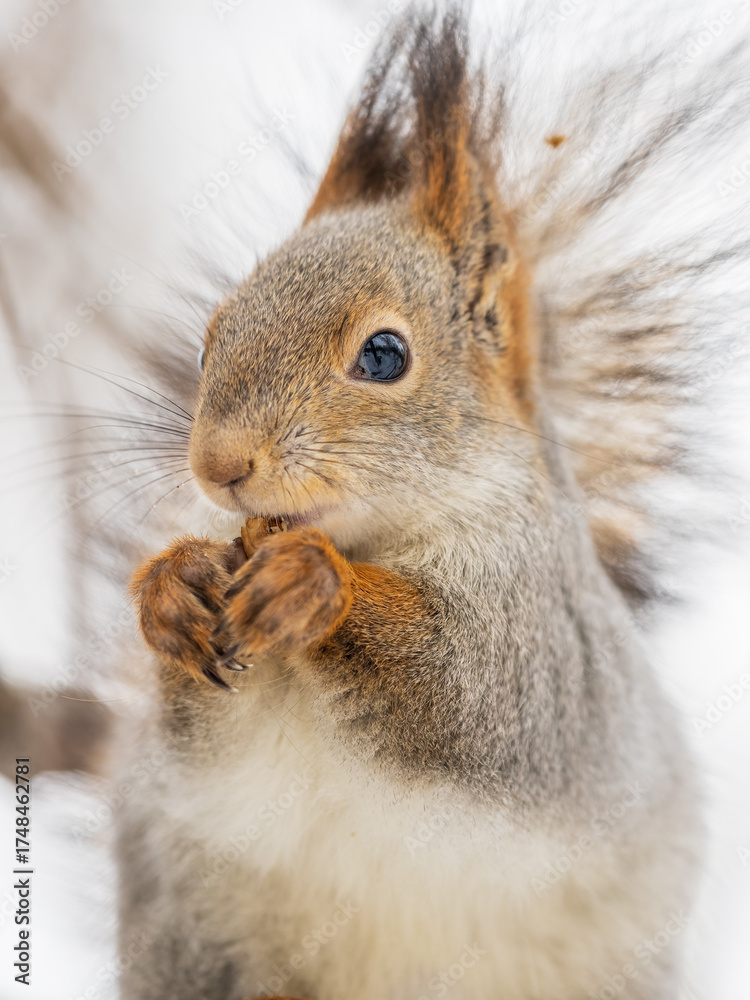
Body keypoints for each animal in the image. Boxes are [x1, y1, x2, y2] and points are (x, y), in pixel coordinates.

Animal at [117, 7, 749, 999]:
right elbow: (198, 739)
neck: (372, 535)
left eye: (384, 355)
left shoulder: (547, 650)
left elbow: (470, 694)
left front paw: (314, 586)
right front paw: (174, 586)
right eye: (213, 334)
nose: (219, 465)